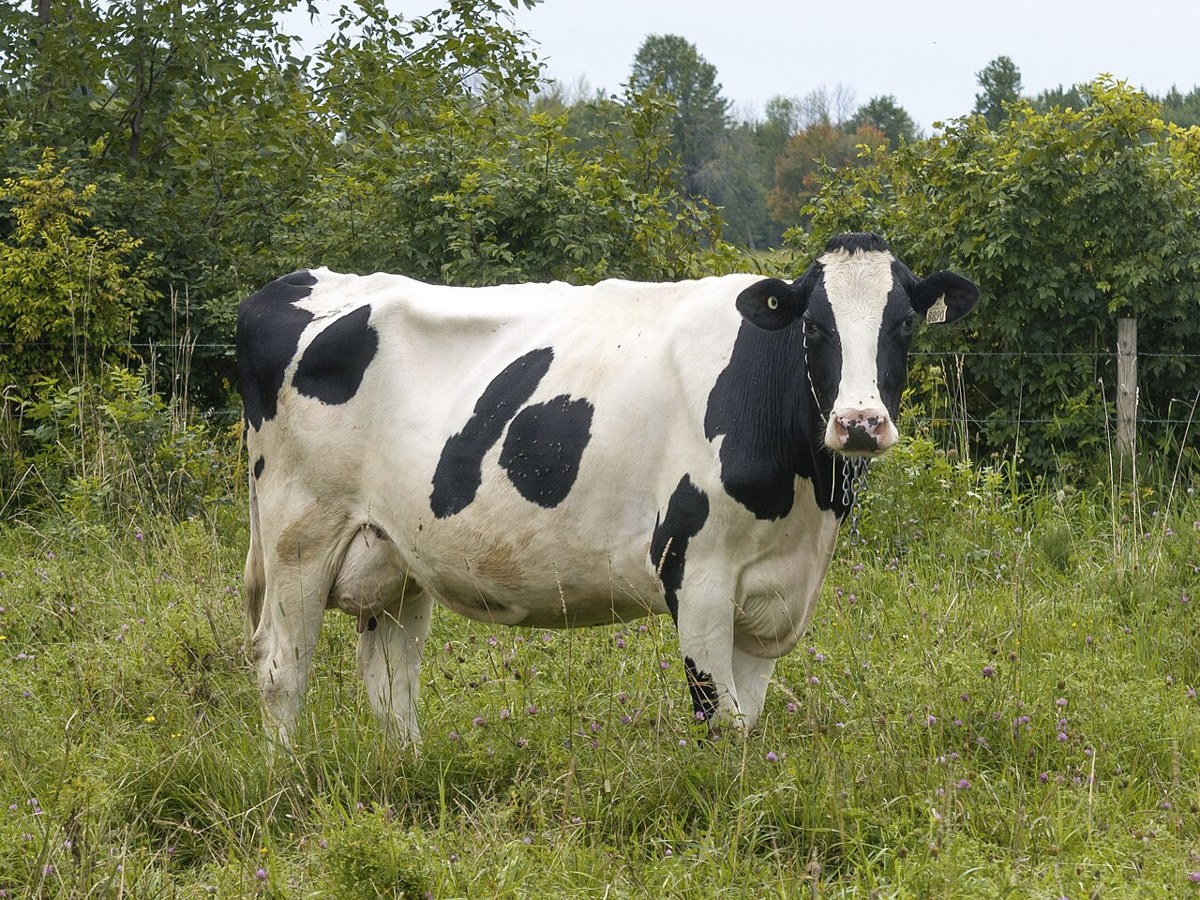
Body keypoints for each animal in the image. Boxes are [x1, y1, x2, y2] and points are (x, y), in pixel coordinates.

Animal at [237, 232, 978, 745]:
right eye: (815, 326)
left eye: (903, 325)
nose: (860, 423)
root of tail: (299, 280)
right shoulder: (694, 570)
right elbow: (721, 720)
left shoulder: (774, 590)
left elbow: (750, 717)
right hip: (299, 531)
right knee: (279, 668)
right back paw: (288, 782)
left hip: (395, 551)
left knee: (390, 681)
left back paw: (407, 771)